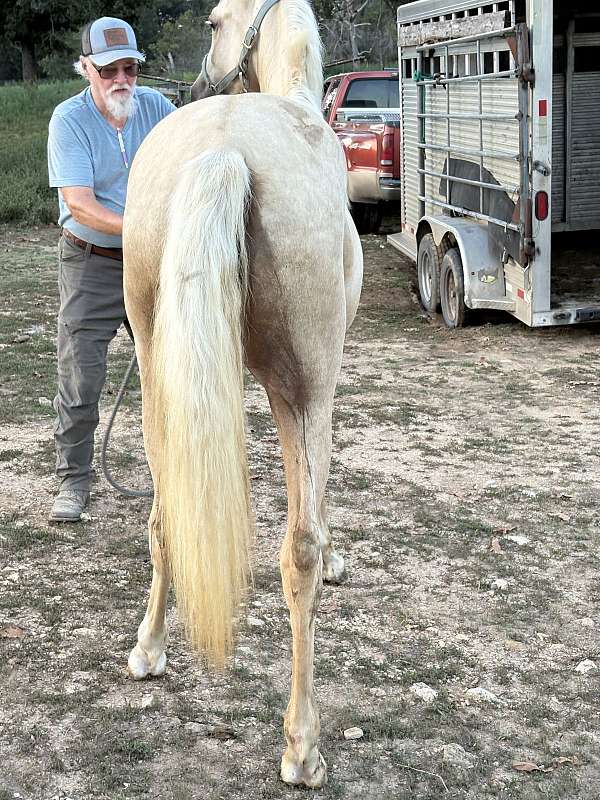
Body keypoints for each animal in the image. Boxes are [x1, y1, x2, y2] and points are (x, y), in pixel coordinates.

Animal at [122, 0, 363, 787]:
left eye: (214, 22)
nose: (200, 82)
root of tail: (223, 151)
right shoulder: (310, 394)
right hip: (306, 392)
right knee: (298, 553)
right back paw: (302, 748)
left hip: (155, 379)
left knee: (164, 514)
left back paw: (149, 650)